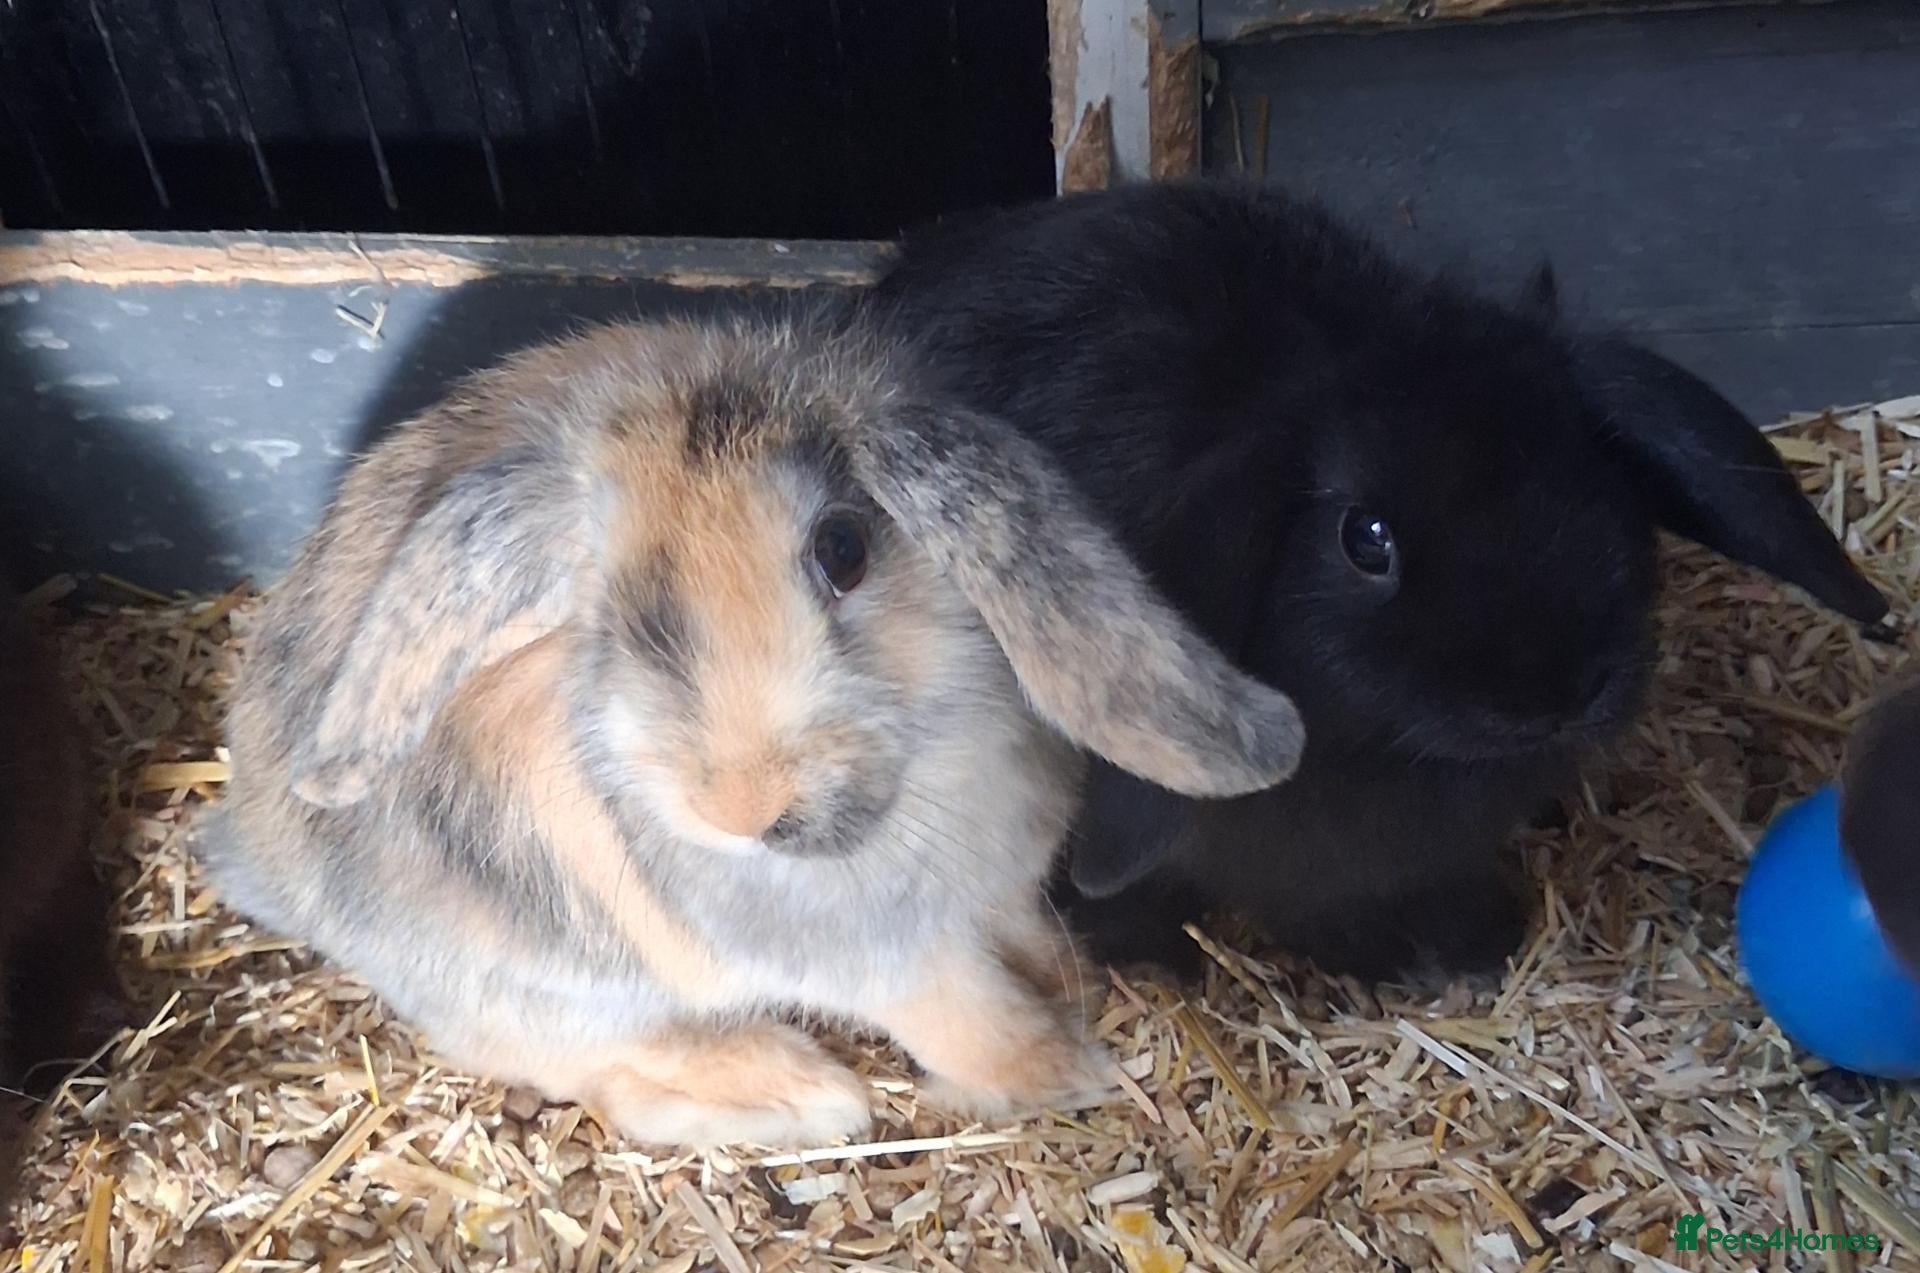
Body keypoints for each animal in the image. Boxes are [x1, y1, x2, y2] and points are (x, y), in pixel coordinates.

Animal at [200, 314, 1306, 1147]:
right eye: (613, 616)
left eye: (845, 547)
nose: (741, 804)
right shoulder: (886, 960)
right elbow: (963, 1011)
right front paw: (1067, 1070)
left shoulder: (994, 889)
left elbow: (1018, 945)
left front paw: (1067, 983)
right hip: (553, 989)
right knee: (600, 1070)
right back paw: (804, 1092)